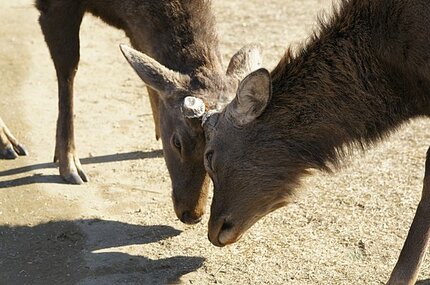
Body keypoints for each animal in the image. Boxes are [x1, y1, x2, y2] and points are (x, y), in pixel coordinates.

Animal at [34, 0, 262, 222]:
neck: (117, 7)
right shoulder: (54, 6)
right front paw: (69, 164)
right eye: (177, 142)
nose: (192, 215)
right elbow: (67, 68)